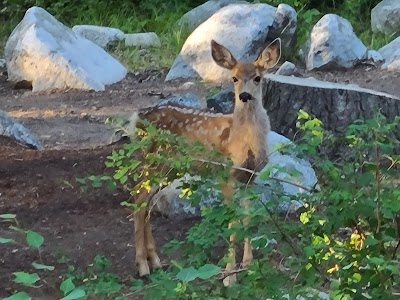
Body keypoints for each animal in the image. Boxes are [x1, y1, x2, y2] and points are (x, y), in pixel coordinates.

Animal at [122, 37, 282, 286]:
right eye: (234, 78)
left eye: (258, 77)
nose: (244, 96)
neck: (243, 141)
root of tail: (136, 118)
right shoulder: (225, 173)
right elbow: (232, 221)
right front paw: (229, 275)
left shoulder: (250, 177)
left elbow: (248, 219)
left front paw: (248, 266)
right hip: (151, 161)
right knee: (138, 199)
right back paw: (143, 267)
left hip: (167, 169)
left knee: (146, 202)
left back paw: (155, 262)